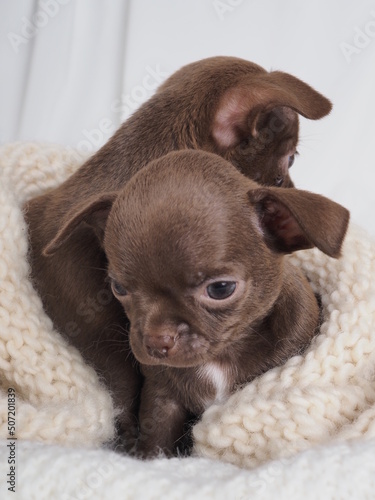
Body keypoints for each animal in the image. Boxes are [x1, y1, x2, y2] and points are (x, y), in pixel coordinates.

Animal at [44, 149, 350, 458]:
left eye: (220, 288)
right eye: (118, 288)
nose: (156, 341)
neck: (220, 357)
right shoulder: (162, 397)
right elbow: (157, 436)